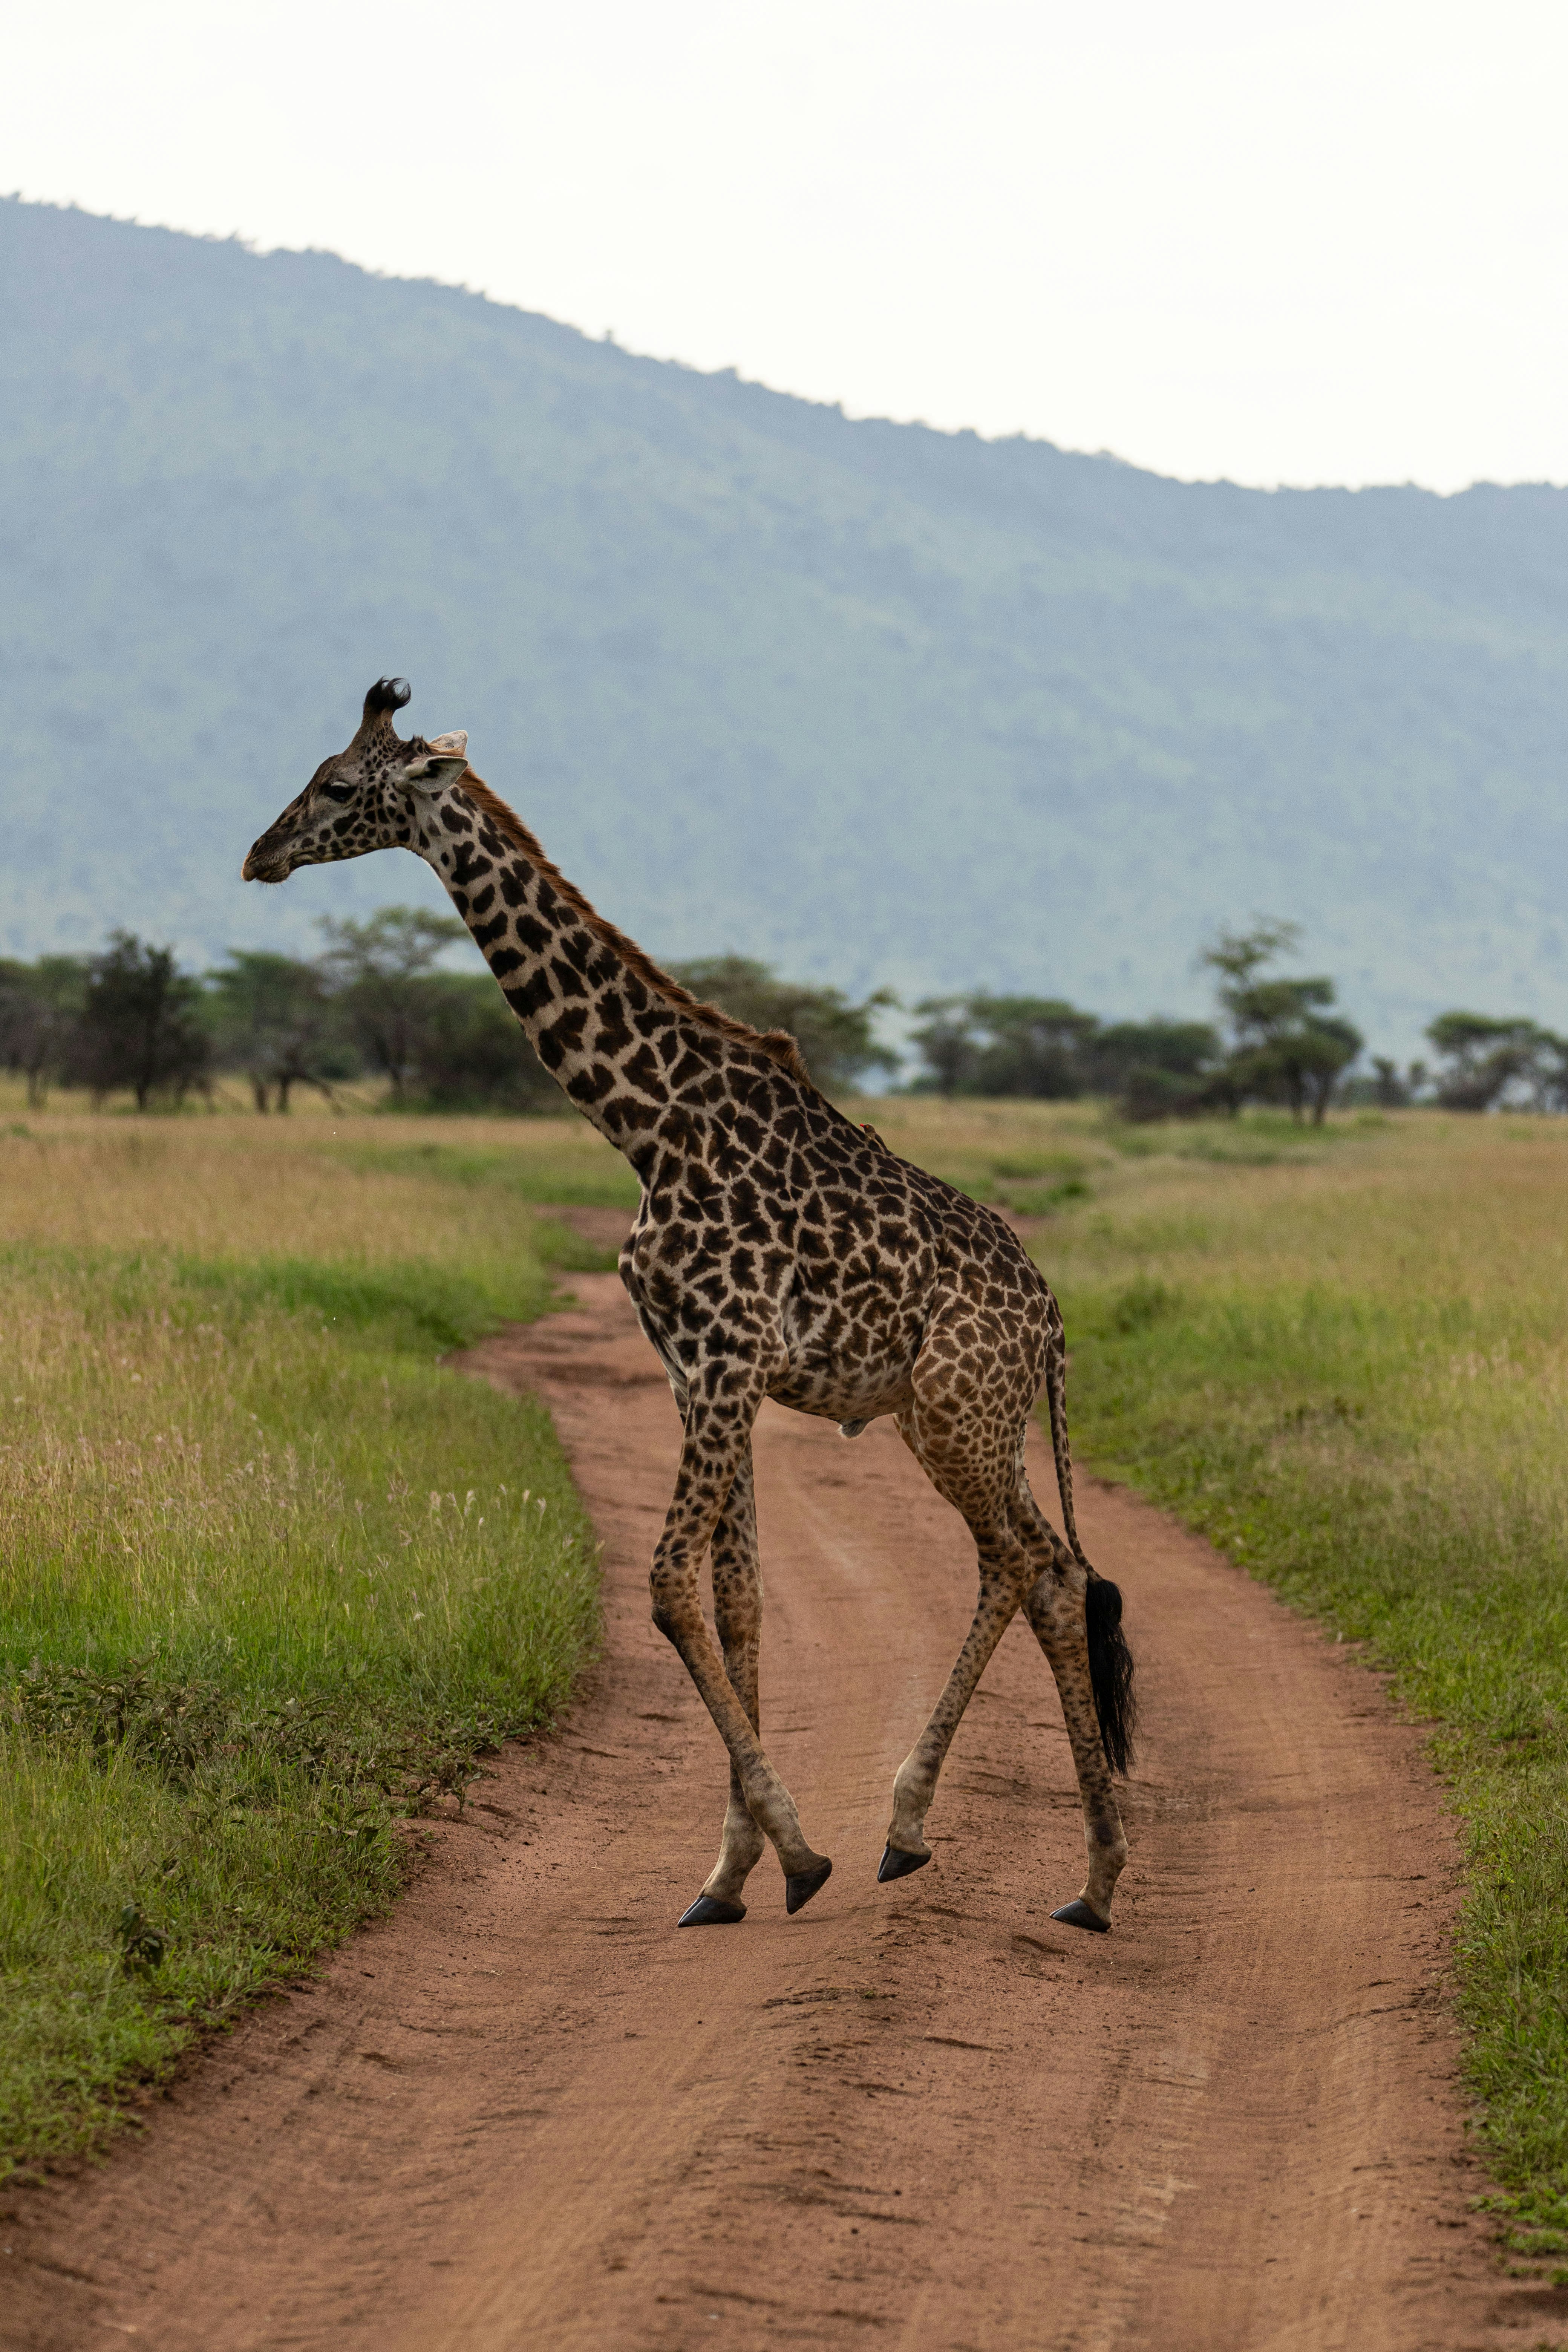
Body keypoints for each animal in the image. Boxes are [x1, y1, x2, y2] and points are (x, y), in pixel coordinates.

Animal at [243, 679, 1136, 1932]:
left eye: (334, 785)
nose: (258, 855)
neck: (644, 1121)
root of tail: (1052, 1322)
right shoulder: (696, 1366)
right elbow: (738, 1593)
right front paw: (729, 1872)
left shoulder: (725, 1359)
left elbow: (670, 1584)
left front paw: (795, 1856)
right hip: (957, 1418)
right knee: (1034, 1566)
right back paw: (968, 1844)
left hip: (961, 1414)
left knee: (1041, 1569)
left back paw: (1071, 1873)